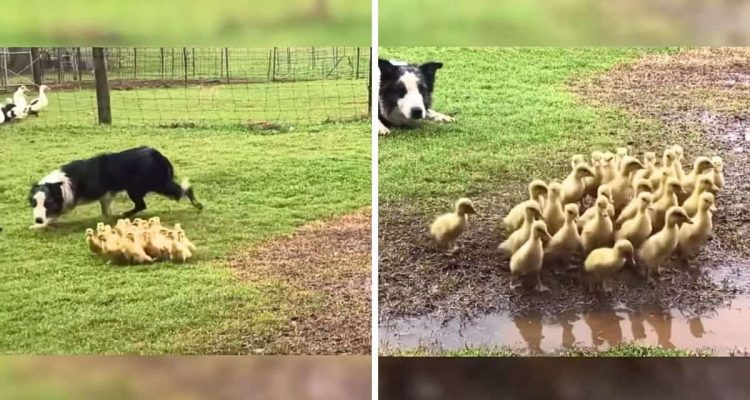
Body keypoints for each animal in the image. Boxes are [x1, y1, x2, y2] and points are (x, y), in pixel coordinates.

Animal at [29, 147, 203, 228]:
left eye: (48, 203)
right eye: (33, 203)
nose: (37, 219)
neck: (61, 183)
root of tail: (158, 155)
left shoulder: (101, 192)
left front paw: (39, 225)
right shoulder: (105, 195)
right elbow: (105, 210)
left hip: (146, 186)